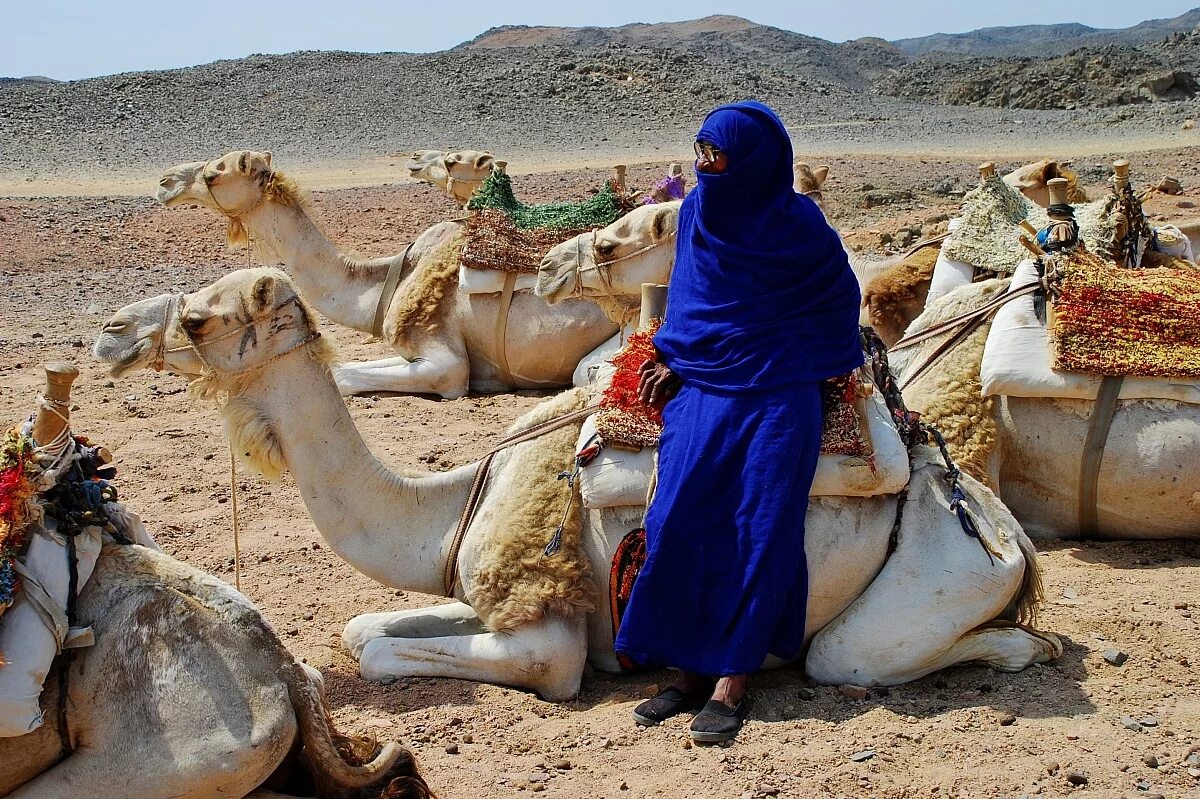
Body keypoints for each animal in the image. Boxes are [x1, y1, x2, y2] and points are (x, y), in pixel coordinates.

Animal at [96, 262, 1060, 695]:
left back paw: (1023, 647)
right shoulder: (486, 592)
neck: (453, 505)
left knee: (854, 655)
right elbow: (361, 623)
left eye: (199, 318)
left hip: (922, 583)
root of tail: (999, 527)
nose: (108, 332)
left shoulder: (549, 637)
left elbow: (376, 648)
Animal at [156, 149, 619, 398]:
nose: (164, 182)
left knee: (584, 372)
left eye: (216, 172)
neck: (388, 282)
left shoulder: (447, 365)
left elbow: (343, 376)